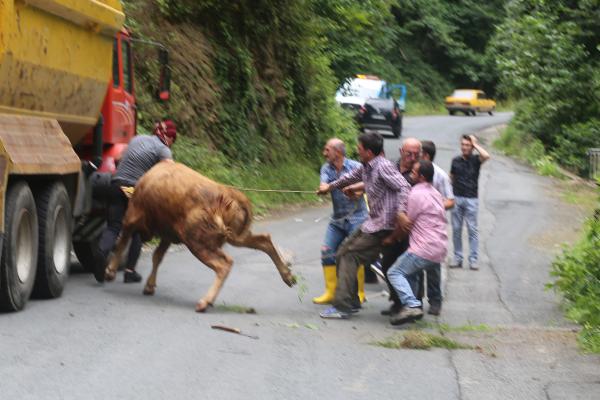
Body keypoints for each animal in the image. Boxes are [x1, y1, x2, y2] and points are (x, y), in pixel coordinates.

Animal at [107, 161, 298, 310]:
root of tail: (229, 192)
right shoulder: (167, 235)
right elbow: (157, 257)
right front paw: (149, 286)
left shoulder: (131, 218)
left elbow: (121, 243)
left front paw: (110, 271)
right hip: (235, 237)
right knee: (264, 240)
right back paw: (288, 277)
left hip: (197, 241)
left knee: (224, 264)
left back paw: (205, 302)